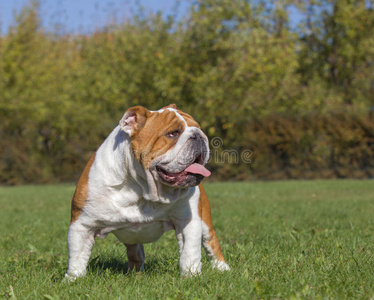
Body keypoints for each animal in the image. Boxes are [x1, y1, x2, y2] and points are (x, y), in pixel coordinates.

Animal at [65, 104, 229, 280]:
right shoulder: (82, 225)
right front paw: (73, 279)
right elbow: (77, 256)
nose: (199, 135)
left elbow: (189, 253)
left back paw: (222, 268)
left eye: (198, 128)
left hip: (204, 222)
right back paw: (134, 274)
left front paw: (191, 276)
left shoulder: (187, 221)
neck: (142, 188)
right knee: (135, 253)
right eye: (173, 133)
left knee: (211, 242)